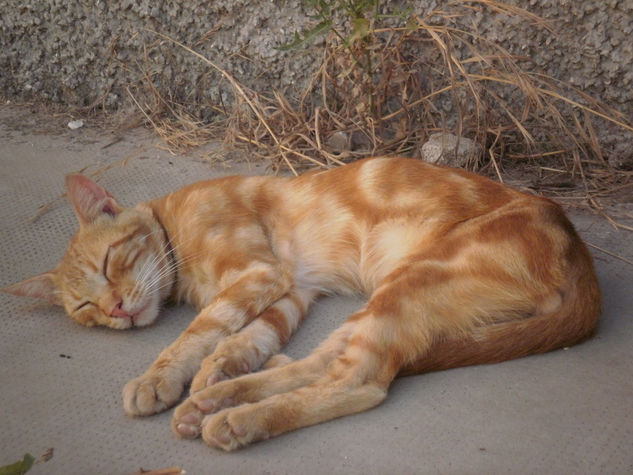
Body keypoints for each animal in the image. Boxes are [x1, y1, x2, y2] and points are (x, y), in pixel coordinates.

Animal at [3, 158, 596, 452]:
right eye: (85, 307)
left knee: (361, 382)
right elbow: (253, 335)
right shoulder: (291, 289)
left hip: (412, 283)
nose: (118, 310)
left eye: (109, 263)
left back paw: (239, 419)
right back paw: (218, 399)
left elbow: (198, 331)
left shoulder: (259, 274)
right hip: (390, 296)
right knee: (325, 361)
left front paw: (160, 377)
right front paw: (223, 367)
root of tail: (577, 246)